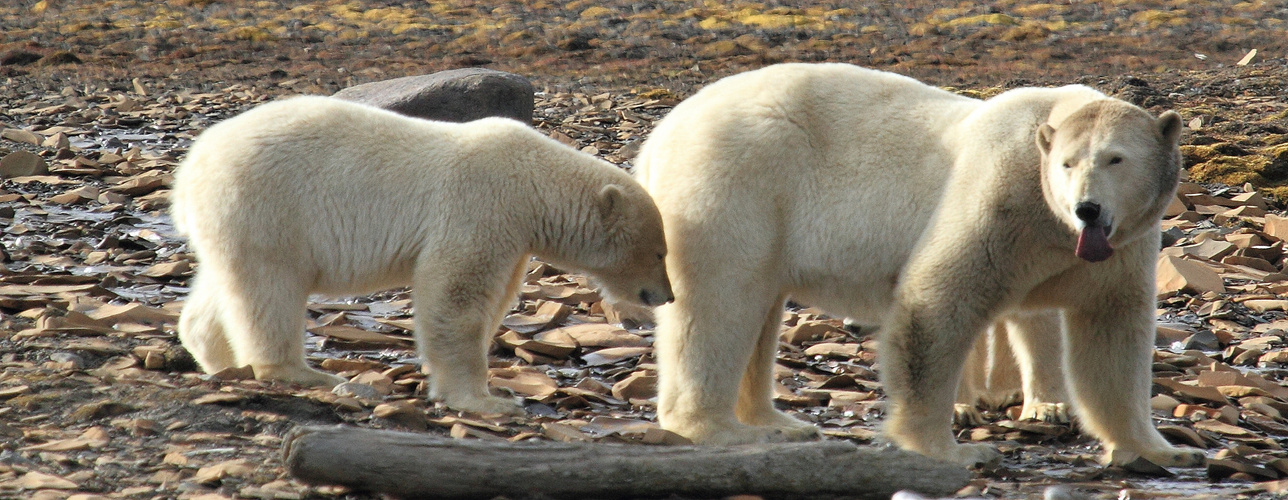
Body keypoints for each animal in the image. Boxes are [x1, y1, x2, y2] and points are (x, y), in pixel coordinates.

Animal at [171, 96, 674, 414]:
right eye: (658, 252)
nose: (666, 296)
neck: (533, 181)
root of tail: (188, 170)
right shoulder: (481, 205)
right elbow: (455, 296)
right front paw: (488, 400)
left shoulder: (513, 235)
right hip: (267, 207)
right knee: (269, 289)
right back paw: (305, 374)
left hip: (234, 223)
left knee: (223, 286)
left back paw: (218, 357)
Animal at [638, 63, 1200, 469]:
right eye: (1068, 163)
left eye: (1116, 159)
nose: (1087, 208)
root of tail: (658, 135)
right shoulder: (1000, 197)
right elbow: (938, 299)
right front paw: (954, 449)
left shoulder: (1124, 247)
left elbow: (1111, 335)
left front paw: (1164, 449)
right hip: (734, 182)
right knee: (720, 303)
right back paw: (721, 426)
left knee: (758, 309)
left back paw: (775, 422)